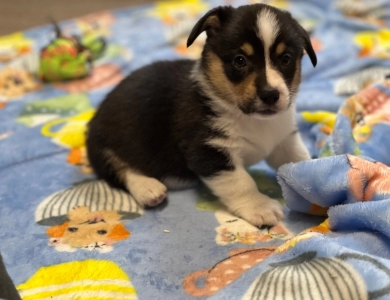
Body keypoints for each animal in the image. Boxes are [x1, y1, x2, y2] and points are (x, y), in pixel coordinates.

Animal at [87, 3, 316, 226]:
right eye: (239, 60)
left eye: (285, 59)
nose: (270, 94)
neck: (252, 120)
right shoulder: (210, 151)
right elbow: (241, 183)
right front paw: (260, 208)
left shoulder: (284, 140)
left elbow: (298, 158)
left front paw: (310, 173)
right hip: (104, 146)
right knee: (118, 169)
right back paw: (148, 188)